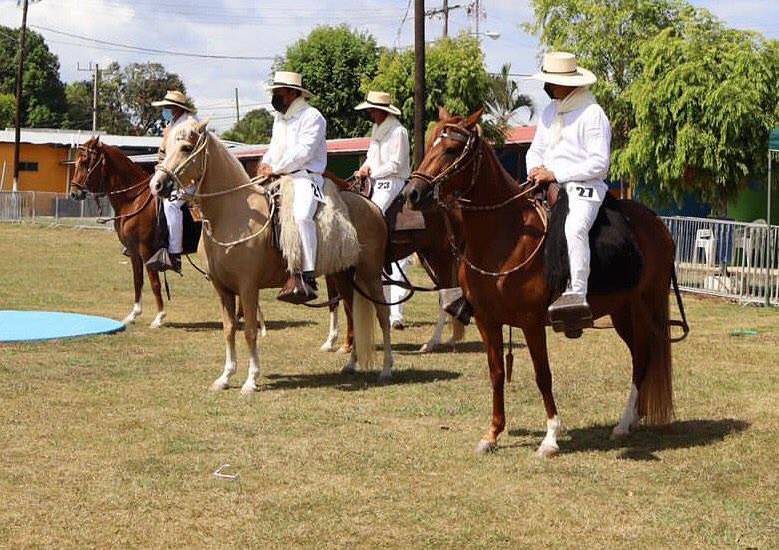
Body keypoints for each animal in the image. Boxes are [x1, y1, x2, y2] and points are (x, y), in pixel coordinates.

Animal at [70, 140, 270, 334]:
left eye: (85, 161)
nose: (74, 192)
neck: (134, 200)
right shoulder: (134, 253)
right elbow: (138, 281)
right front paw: (133, 314)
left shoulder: (146, 251)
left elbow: (154, 283)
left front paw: (159, 318)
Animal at [151, 119, 396, 392]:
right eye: (162, 150)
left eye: (186, 147)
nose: (157, 185)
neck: (231, 213)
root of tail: (372, 206)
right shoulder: (222, 289)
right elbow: (229, 329)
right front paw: (225, 377)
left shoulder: (248, 287)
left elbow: (249, 331)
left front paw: (250, 380)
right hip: (343, 275)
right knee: (352, 312)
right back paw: (351, 364)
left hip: (370, 274)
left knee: (383, 315)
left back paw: (387, 369)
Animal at [408, 110, 688, 460]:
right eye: (431, 141)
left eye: (450, 149)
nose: (413, 192)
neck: (507, 235)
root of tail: (658, 225)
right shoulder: (487, 321)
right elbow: (496, 373)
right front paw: (492, 434)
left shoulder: (531, 323)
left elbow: (543, 375)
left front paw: (551, 438)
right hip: (623, 312)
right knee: (641, 356)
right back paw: (630, 421)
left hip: (646, 305)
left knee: (644, 356)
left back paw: (624, 423)